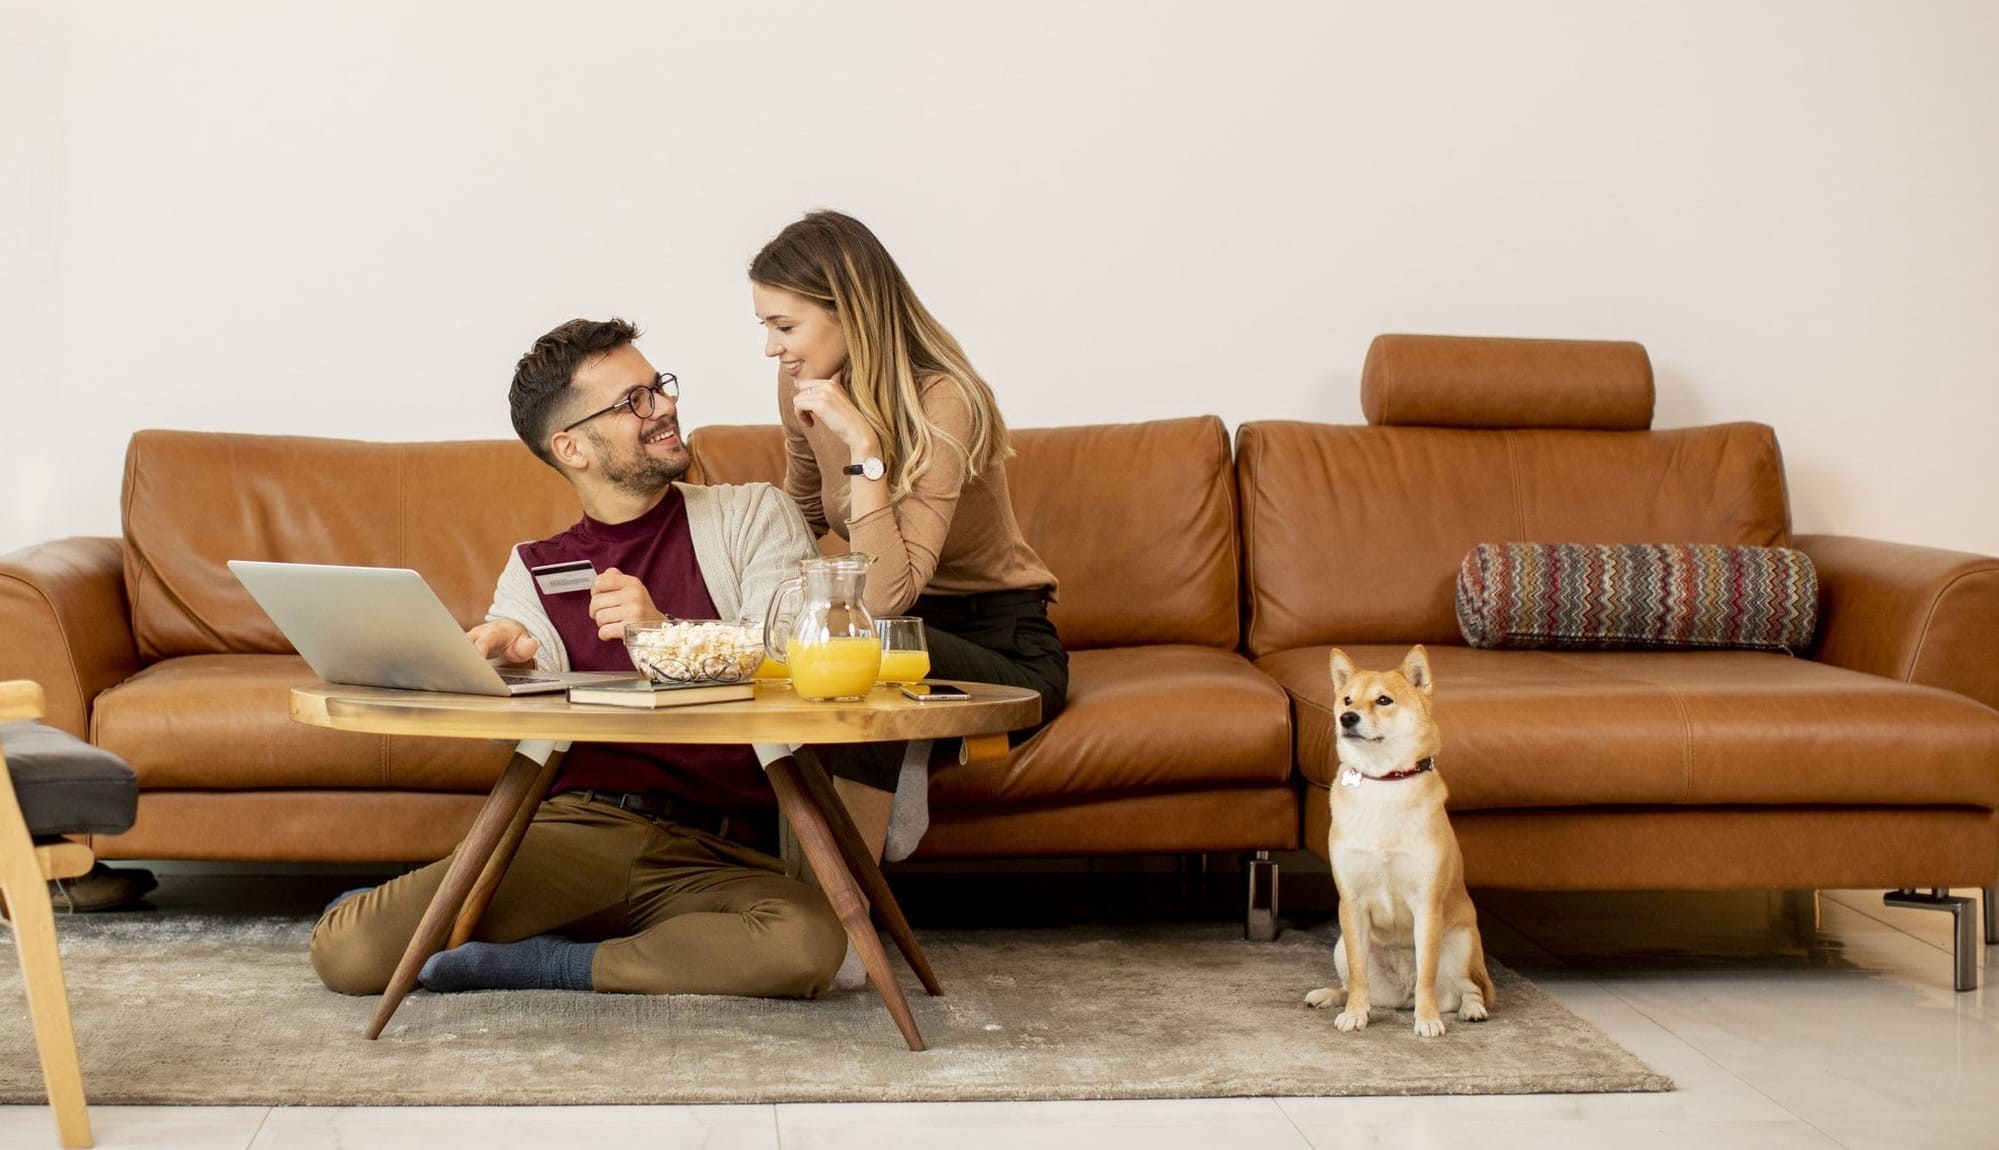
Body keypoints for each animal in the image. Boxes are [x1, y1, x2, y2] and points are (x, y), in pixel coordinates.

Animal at [1303, 652, 1495, 1040]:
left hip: (1461, 944)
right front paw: (1355, 1015)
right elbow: (1359, 977)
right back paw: (1331, 996)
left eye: (1383, 700)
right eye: (1347, 700)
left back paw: (1471, 1010)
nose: (1347, 718)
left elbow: (1427, 976)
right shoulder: (1351, 904)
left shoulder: (1427, 905)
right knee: (1355, 984)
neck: (1384, 782)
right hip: (1341, 947)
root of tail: (1400, 997)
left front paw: (1428, 1019)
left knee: (1468, 987)